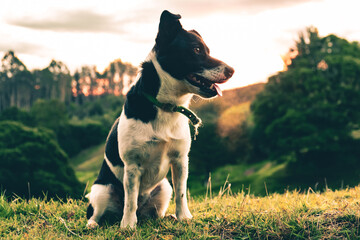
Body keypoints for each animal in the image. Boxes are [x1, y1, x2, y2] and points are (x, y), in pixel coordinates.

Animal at [86, 9, 235, 229]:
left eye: (207, 50)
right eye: (196, 49)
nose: (232, 70)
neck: (165, 106)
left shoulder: (180, 160)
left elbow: (182, 194)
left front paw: (184, 218)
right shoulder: (132, 166)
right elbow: (130, 201)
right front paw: (128, 226)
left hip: (164, 188)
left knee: (153, 213)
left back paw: (166, 217)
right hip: (101, 191)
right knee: (99, 212)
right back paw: (95, 224)